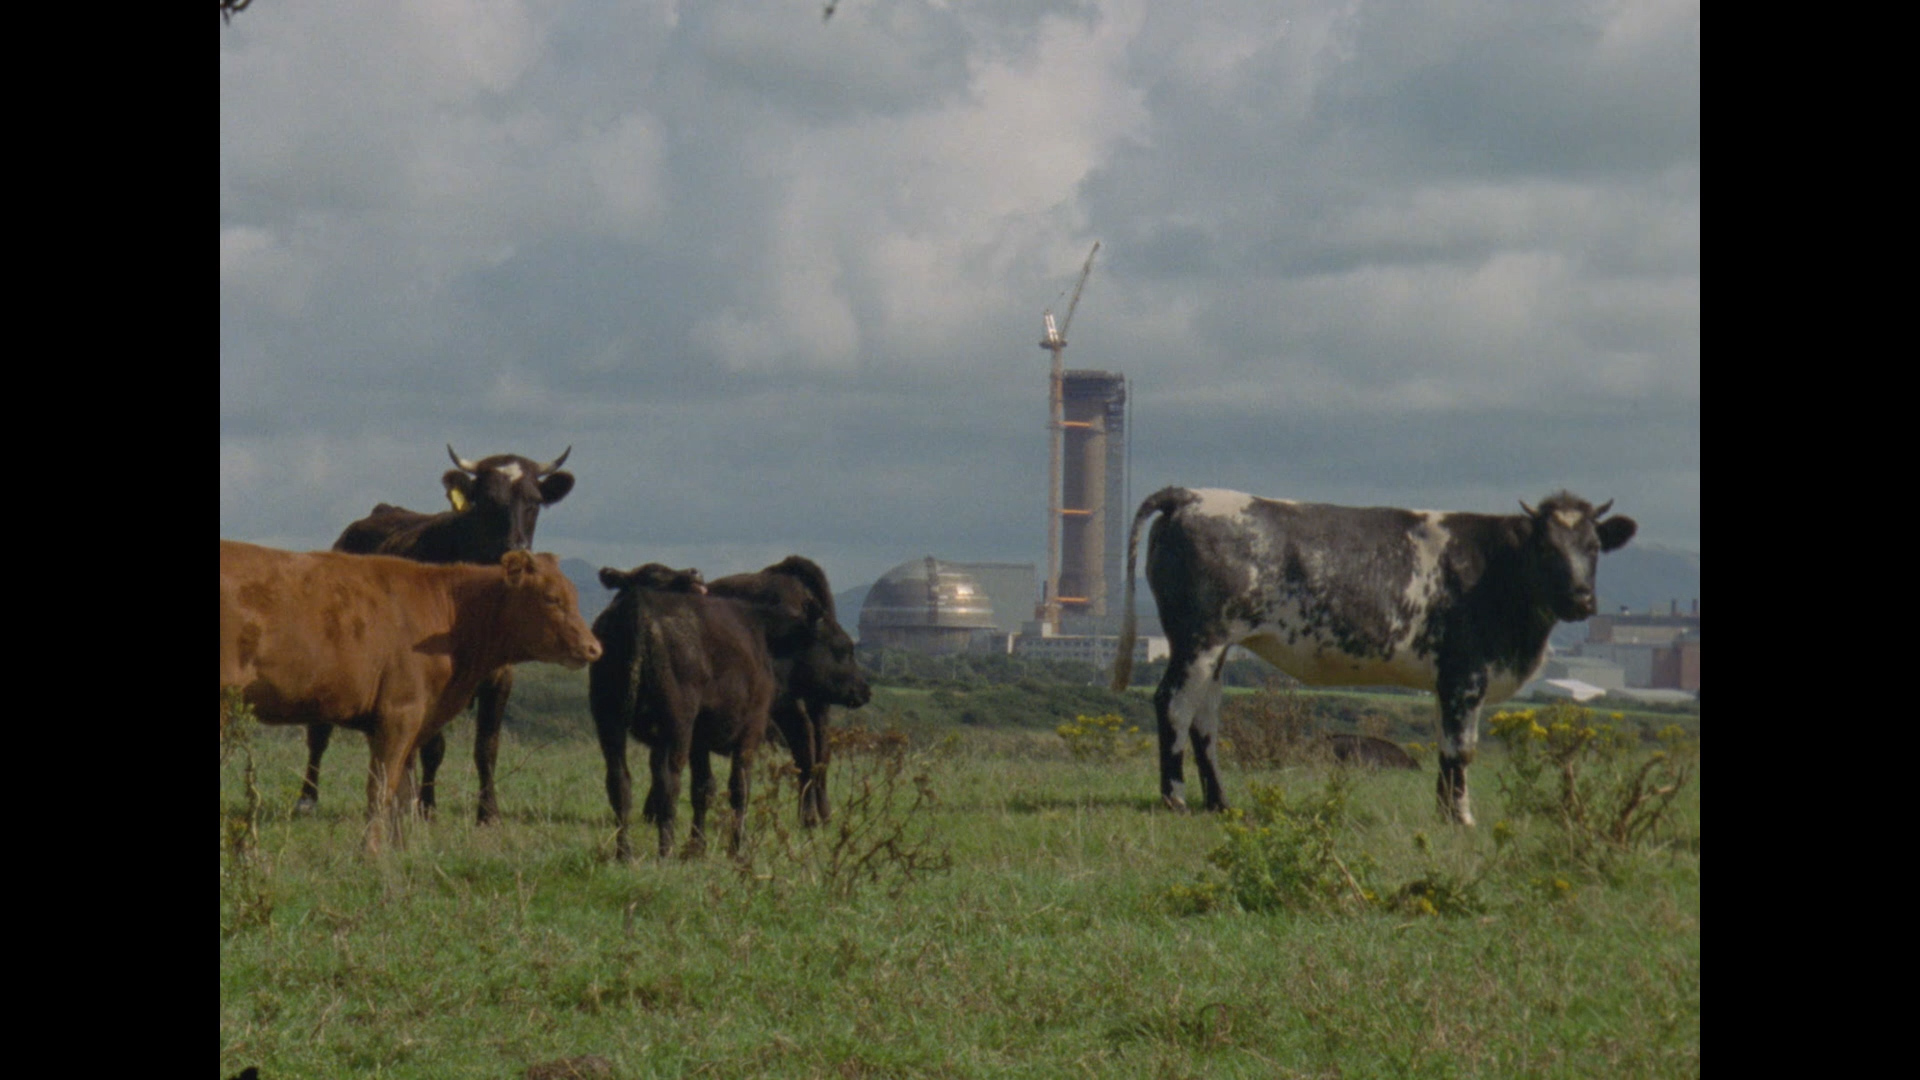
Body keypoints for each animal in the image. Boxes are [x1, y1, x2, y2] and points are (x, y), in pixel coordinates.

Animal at [219, 541, 602, 853]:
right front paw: (371, 853)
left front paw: (399, 850)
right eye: (551, 598)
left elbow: (402, 793)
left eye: (574, 595)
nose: (593, 647)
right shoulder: (400, 712)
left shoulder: (404, 720)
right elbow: (381, 788)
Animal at [298, 445, 576, 824]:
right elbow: (435, 747)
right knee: (319, 734)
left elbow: (487, 747)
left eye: (534, 501)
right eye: (486, 501)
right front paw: (427, 808)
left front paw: (488, 813)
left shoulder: (501, 676)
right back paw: (308, 798)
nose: (514, 550)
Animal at [589, 563, 793, 860]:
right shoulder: (751, 728)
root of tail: (638, 602)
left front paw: (698, 847)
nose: (694, 572)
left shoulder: (697, 739)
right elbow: (738, 787)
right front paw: (736, 849)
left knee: (619, 781)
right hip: (677, 719)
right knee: (669, 784)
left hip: (608, 716)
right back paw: (665, 852)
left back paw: (624, 852)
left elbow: (703, 788)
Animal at [1111, 488, 1636, 825]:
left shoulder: (1448, 681)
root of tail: (1190, 495)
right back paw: (1175, 799)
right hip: (1198, 638)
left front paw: (1444, 813)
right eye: (1545, 546)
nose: (1581, 599)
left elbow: (1445, 747)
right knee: (1174, 706)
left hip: (1216, 647)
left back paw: (1220, 804)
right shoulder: (1466, 674)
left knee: (1205, 720)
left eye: (1594, 547)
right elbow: (1461, 748)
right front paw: (1461, 817)